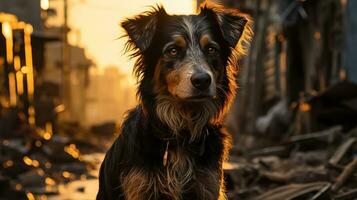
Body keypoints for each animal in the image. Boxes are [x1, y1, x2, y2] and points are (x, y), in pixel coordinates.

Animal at [96, 1, 252, 200]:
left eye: (211, 49)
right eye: (173, 50)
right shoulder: (140, 186)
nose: (202, 80)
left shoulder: (207, 184)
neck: (182, 129)